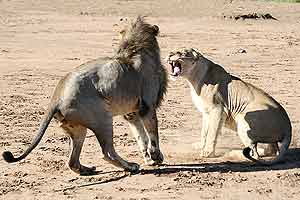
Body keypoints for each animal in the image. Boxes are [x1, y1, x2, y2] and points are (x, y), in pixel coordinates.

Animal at [2, 16, 168, 175]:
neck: (135, 48)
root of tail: (56, 97)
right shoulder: (147, 106)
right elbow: (152, 134)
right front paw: (156, 157)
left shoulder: (131, 113)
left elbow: (141, 137)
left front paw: (149, 159)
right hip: (102, 119)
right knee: (107, 152)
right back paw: (131, 167)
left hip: (78, 129)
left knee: (72, 161)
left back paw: (87, 170)